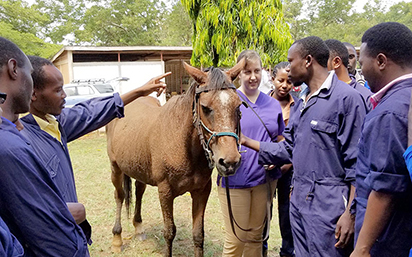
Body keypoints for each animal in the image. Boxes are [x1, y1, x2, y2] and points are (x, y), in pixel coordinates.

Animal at [107, 60, 245, 256]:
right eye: (205, 108)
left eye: (238, 106)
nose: (230, 162)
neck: (184, 146)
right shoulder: (165, 192)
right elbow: (169, 232)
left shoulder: (202, 191)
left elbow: (198, 235)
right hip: (115, 168)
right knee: (119, 196)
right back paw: (117, 238)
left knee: (139, 191)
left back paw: (139, 228)